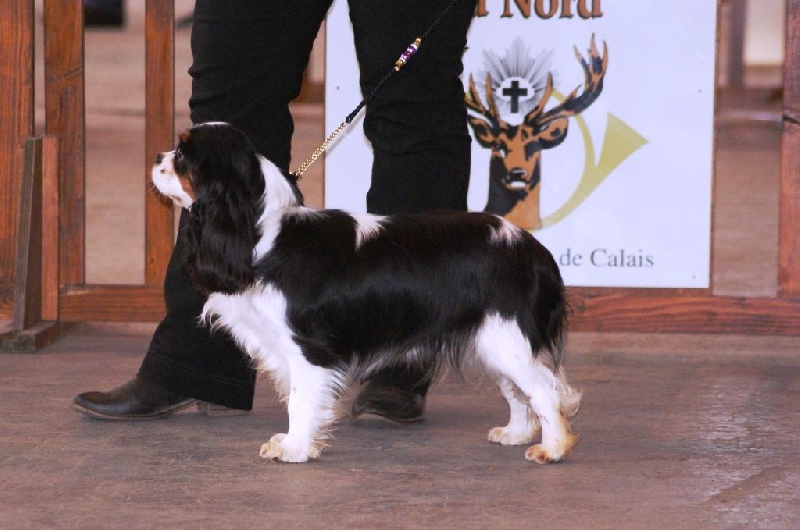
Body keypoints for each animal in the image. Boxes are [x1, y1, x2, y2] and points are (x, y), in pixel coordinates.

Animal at [151, 122, 581, 464]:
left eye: (183, 156)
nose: (157, 156)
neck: (261, 232)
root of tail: (535, 250)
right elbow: (296, 398)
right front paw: (293, 443)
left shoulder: (310, 349)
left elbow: (301, 400)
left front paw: (295, 449)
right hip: (493, 340)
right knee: (519, 391)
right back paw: (516, 434)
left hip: (506, 337)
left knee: (544, 392)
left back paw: (552, 448)